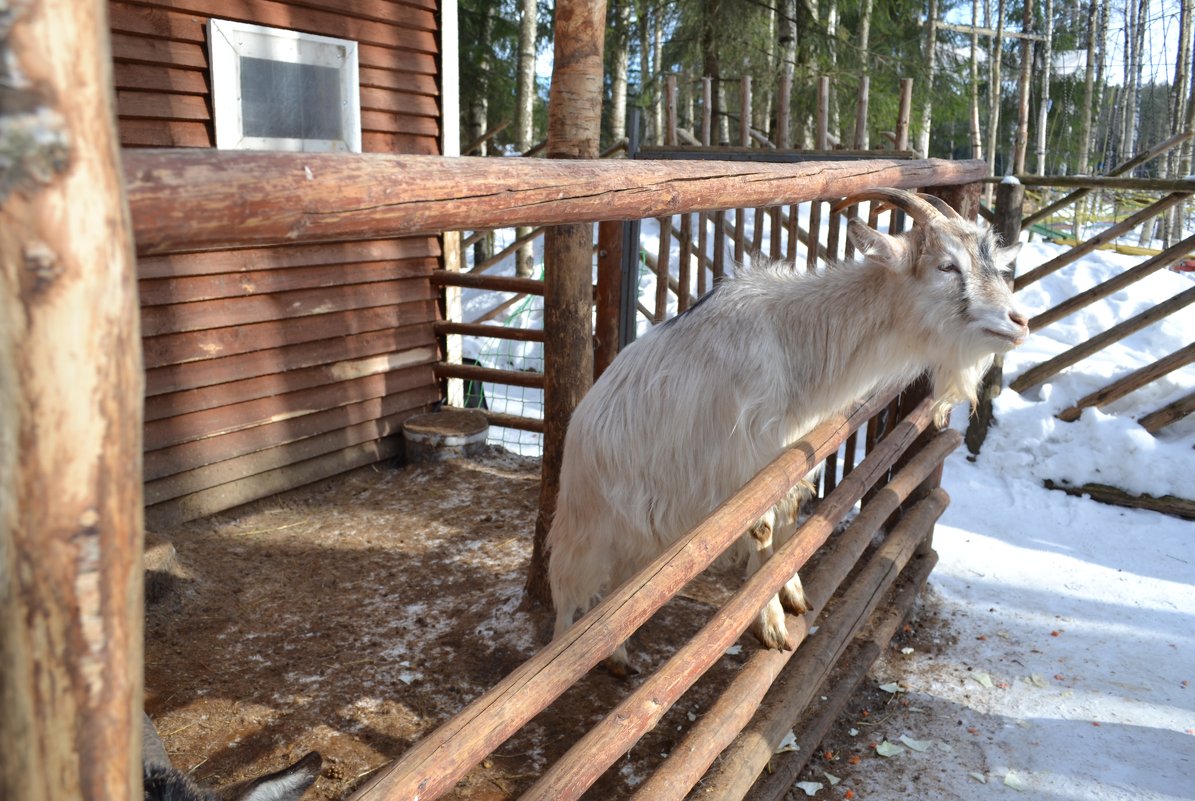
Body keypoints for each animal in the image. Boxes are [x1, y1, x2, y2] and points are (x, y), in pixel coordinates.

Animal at [547, 190, 1027, 679]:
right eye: (947, 266)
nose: (1018, 321)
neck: (794, 341)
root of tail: (580, 426)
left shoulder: (791, 455)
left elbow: (791, 515)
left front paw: (794, 594)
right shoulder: (744, 465)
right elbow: (761, 530)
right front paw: (773, 624)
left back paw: (618, 655)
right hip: (587, 522)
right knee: (566, 598)